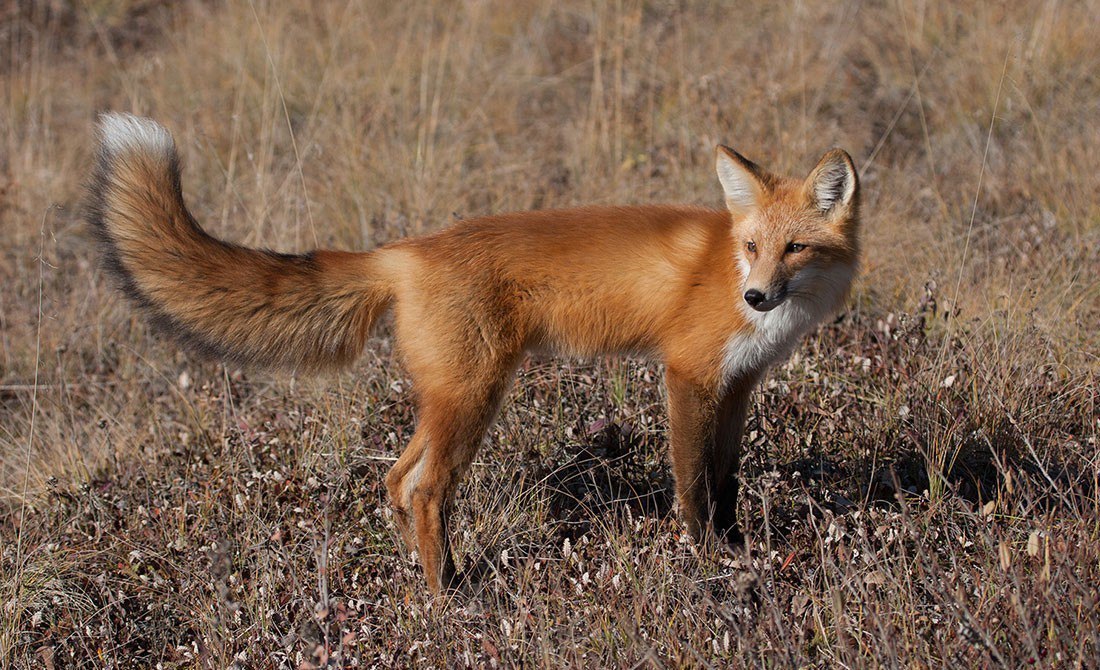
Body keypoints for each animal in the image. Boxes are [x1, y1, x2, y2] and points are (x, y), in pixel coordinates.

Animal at [85, 112, 858, 594]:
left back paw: (435, 576)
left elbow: (726, 480)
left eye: (795, 247)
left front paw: (737, 549)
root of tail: (403, 251)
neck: (726, 274)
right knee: (425, 489)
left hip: (451, 399)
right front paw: (704, 559)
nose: (757, 297)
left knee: (395, 480)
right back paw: (447, 600)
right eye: (751, 247)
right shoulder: (688, 377)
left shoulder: (738, 386)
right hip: (475, 397)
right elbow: (692, 486)